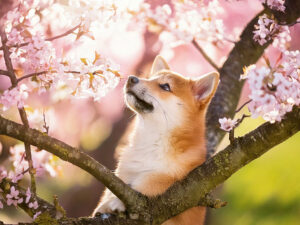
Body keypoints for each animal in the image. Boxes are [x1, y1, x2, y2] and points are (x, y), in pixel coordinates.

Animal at [94, 55, 220, 225]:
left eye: (165, 86)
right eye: (150, 78)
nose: (132, 78)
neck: (151, 140)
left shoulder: (171, 176)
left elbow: (145, 184)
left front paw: (117, 202)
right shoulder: (123, 173)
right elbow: (112, 190)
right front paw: (105, 205)